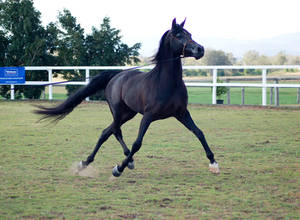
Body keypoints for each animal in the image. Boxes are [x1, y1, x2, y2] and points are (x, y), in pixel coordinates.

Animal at [35, 18, 219, 177]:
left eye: (190, 34)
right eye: (178, 35)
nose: (200, 49)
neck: (166, 82)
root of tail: (116, 76)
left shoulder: (181, 113)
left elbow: (199, 132)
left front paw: (214, 164)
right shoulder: (148, 116)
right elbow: (137, 143)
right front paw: (118, 168)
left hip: (128, 113)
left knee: (106, 132)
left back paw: (88, 163)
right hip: (118, 112)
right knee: (115, 131)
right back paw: (116, 162)